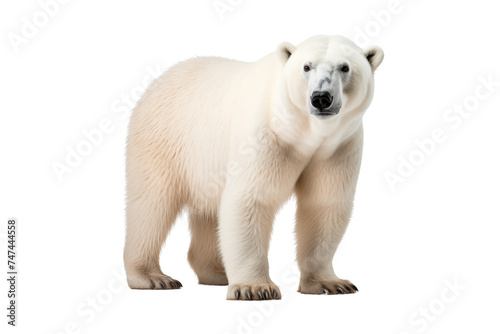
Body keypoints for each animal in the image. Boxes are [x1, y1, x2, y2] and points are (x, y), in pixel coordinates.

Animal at [124, 34, 382, 300]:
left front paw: (331, 283)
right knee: (152, 204)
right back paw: (153, 277)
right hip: (163, 139)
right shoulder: (265, 136)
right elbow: (251, 199)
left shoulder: (337, 147)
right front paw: (256, 288)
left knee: (206, 210)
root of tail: (157, 82)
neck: (304, 133)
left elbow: (323, 205)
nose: (321, 97)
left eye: (345, 67)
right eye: (306, 67)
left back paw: (217, 272)